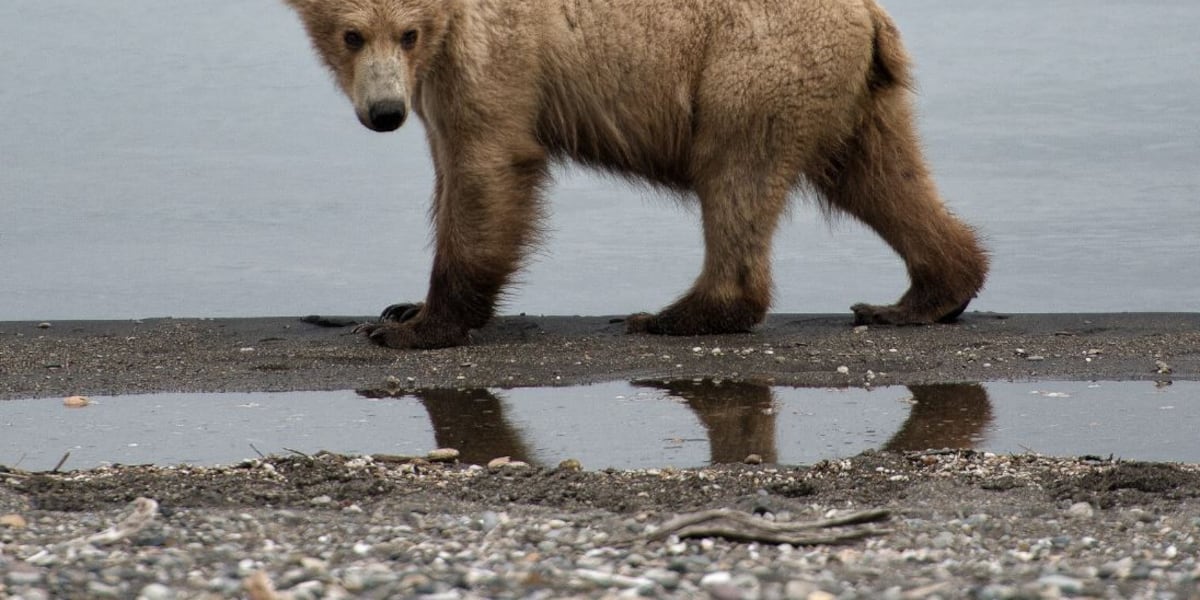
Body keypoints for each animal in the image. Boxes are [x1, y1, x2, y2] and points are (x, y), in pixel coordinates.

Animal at [282, 0, 988, 349]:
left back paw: (677, 314)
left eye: (405, 32)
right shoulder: (436, 80)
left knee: (737, 172)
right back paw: (921, 295)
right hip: (856, 94)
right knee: (882, 176)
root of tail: (870, 15)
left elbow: (489, 164)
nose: (384, 113)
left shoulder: (495, 51)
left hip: (752, 64)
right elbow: (450, 165)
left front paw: (411, 327)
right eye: (350, 35)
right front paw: (402, 304)